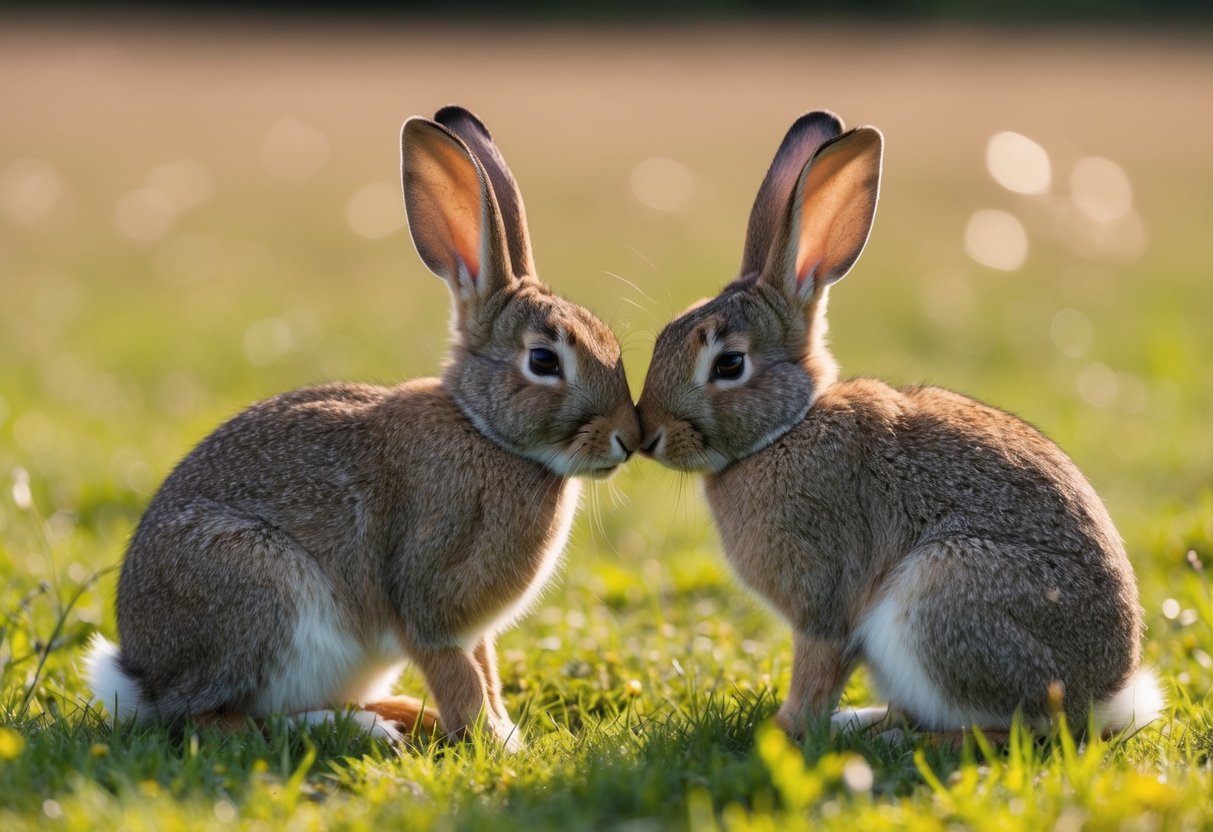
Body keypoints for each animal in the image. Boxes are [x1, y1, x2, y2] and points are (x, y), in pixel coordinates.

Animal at [85, 105, 641, 750]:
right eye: (544, 361)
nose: (629, 438)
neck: (483, 430)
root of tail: (141, 677)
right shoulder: (429, 602)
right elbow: (459, 676)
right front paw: (493, 743)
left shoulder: (476, 633)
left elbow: (486, 672)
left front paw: (500, 732)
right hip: (257, 587)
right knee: (215, 720)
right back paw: (363, 728)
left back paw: (400, 715)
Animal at [635, 110, 1162, 740]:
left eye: (729, 365)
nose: (646, 433)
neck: (788, 428)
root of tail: (1109, 698)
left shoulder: (826, 602)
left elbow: (816, 670)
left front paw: (782, 731)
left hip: (943, 595)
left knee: (1010, 730)